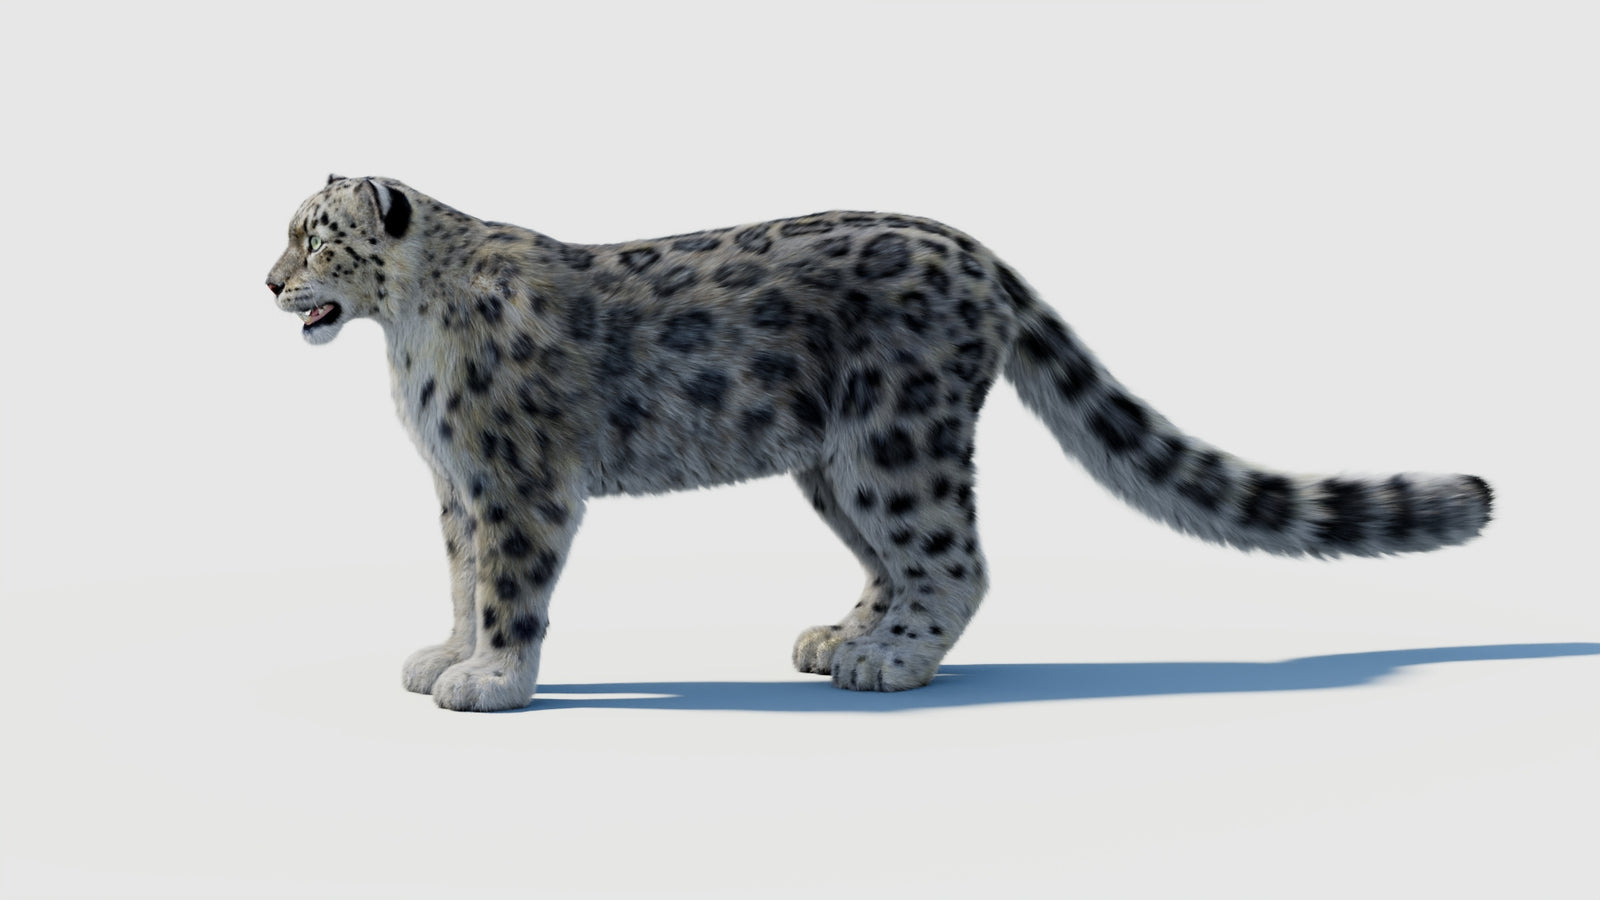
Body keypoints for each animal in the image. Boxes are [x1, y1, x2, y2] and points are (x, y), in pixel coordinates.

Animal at [266, 175, 1493, 712]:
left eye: (314, 238)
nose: (270, 284)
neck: (405, 343)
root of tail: (974, 250)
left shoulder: (515, 482)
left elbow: (511, 586)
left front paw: (491, 679)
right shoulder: (455, 485)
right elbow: (463, 577)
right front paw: (445, 652)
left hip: (894, 442)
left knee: (954, 557)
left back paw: (887, 663)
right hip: (834, 463)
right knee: (896, 562)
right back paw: (844, 638)